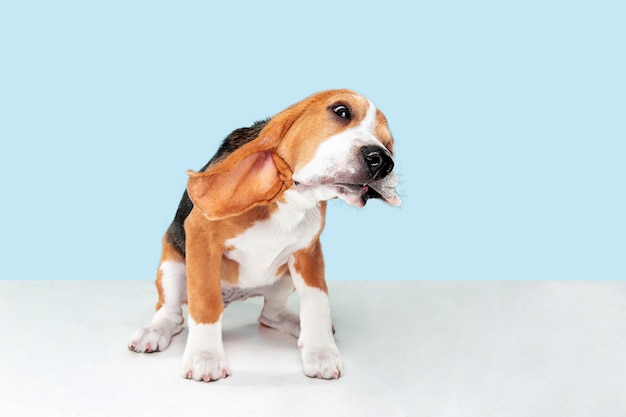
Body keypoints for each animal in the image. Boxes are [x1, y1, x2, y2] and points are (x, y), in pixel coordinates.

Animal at [128, 88, 400, 380]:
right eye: (341, 111)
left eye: (389, 143)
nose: (383, 161)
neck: (292, 198)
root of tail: (236, 295)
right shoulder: (200, 237)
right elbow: (206, 302)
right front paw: (205, 356)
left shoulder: (308, 252)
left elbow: (317, 302)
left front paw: (320, 351)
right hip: (172, 266)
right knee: (171, 313)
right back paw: (155, 331)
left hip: (284, 275)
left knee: (270, 313)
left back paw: (297, 325)